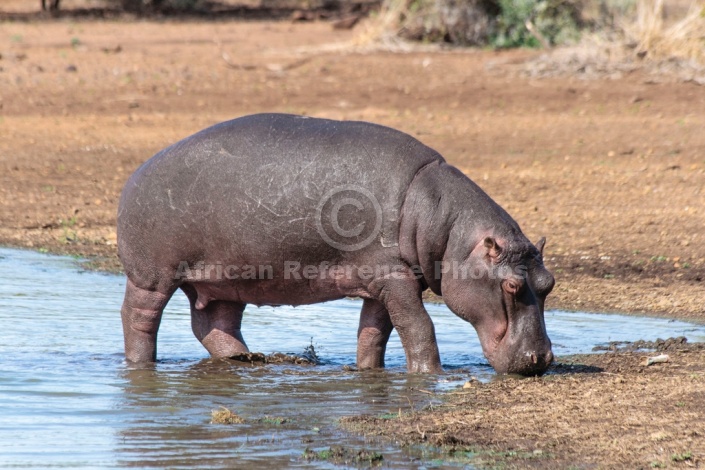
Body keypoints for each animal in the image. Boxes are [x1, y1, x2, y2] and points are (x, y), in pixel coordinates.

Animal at [117, 113, 556, 374]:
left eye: (549, 283)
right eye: (511, 285)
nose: (543, 358)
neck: (449, 230)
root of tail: (137, 171)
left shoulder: (386, 282)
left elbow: (375, 332)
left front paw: (369, 372)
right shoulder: (393, 276)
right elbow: (418, 326)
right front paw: (430, 375)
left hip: (224, 277)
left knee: (213, 322)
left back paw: (246, 359)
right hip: (152, 276)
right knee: (139, 318)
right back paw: (141, 365)